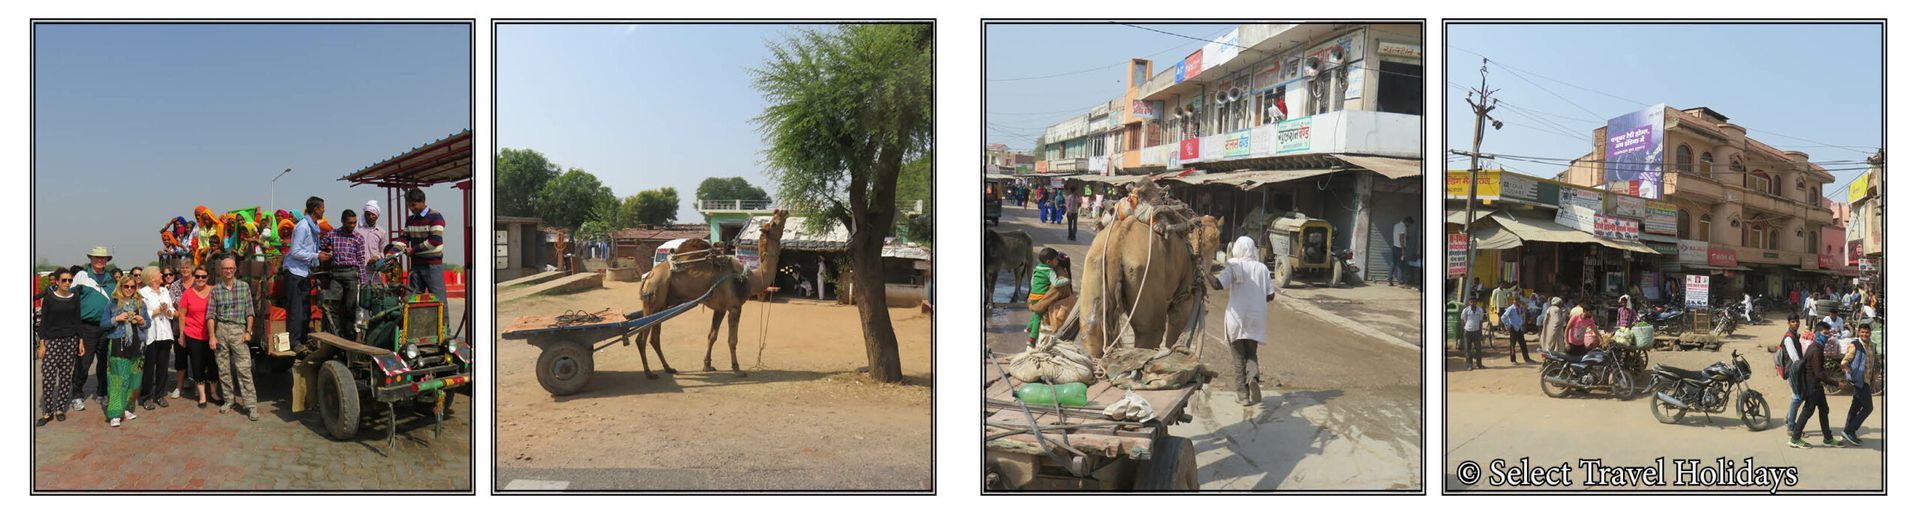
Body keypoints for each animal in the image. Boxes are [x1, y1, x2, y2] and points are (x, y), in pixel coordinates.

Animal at [637, 208, 787, 377]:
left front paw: (707, 365)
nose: (783, 211)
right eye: (774, 223)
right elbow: (732, 340)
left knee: (654, 338)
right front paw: (737, 368)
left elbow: (712, 336)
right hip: (654, 297)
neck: (750, 277)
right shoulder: (734, 306)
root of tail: (649, 275)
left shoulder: (720, 308)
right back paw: (649, 373)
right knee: (642, 338)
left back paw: (669, 368)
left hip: (661, 304)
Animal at [1075, 178, 1221, 358]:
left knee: (1092, 333)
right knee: (1150, 332)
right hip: (1146, 277)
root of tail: (1117, 241)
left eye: (1216, 240)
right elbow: (1175, 334)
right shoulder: (1184, 297)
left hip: (1094, 268)